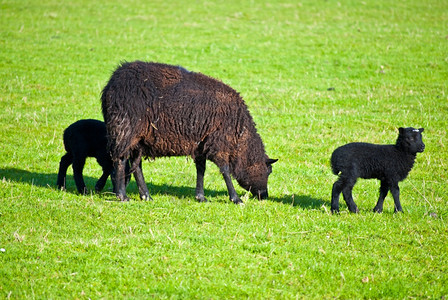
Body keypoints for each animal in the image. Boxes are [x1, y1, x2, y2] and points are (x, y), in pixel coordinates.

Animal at [101, 60, 276, 204]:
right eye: (268, 172)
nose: (264, 196)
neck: (240, 136)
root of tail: (111, 84)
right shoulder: (219, 142)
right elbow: (225, 171)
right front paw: (235, 198)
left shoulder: (201, 144)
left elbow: (201, 170)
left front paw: (200, 197)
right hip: (125, 129)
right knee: (121, 160)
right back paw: (122, 196)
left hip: (138, 137)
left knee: (136, 166)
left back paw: (146, 195)